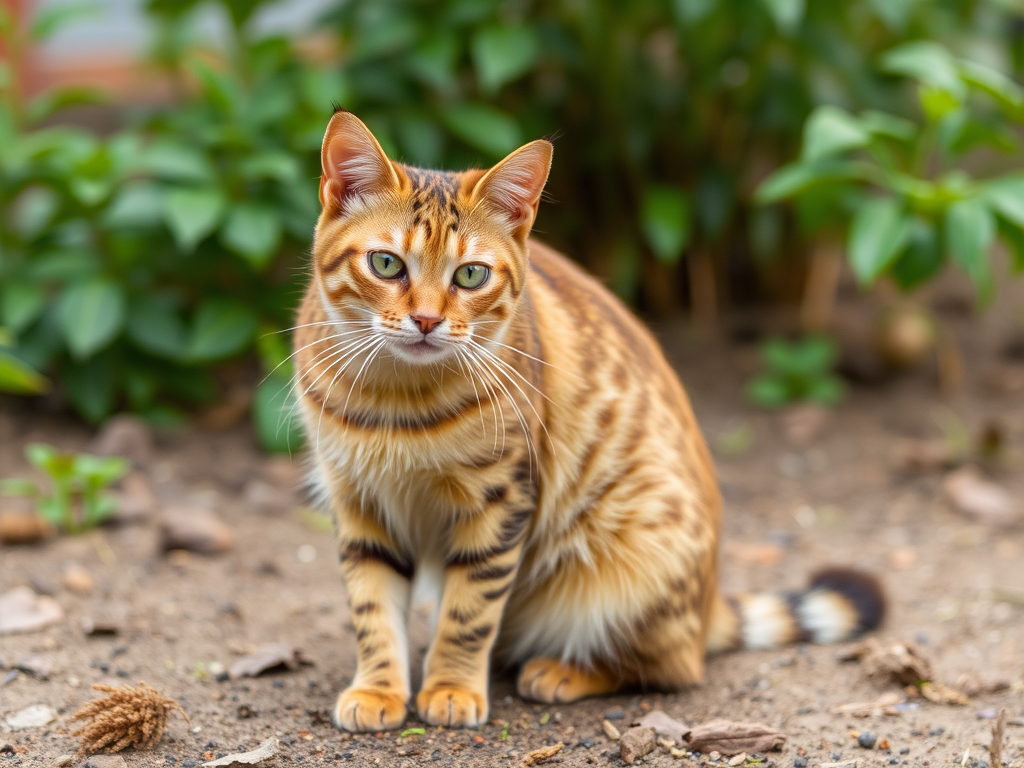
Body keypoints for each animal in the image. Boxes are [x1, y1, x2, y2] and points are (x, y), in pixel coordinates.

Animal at [292, 109, 884, 733]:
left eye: (471, 276)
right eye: (386, 264)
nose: (427, 321)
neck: (396, 398)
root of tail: (708, 608)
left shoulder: (502, 499)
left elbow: (468, 611)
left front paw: (451, 686)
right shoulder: (357, 499)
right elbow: (372, 607)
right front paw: (379, 688)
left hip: (631, 566)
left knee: (669, 667)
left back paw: (561, 670)